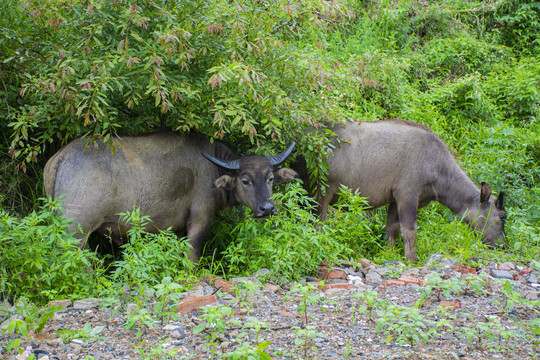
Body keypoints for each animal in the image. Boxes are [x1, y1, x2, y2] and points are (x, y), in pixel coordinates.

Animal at [43, 131, 298, 258]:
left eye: (271, 179)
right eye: (245, 180)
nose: (267, 208)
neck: (212, 168)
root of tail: (62, 156)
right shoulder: (200, 218)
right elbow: (192, 253)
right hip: (76, 230)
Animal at [294, 119, 504, 262]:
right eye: (502, 217)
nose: (503, 245)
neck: (437, 166)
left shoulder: (394, 199)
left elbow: (392, 229)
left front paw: (389, 253)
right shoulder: (407, 195)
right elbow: (409, 231)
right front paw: (412, 259)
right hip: (321, 192)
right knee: (317, 224)